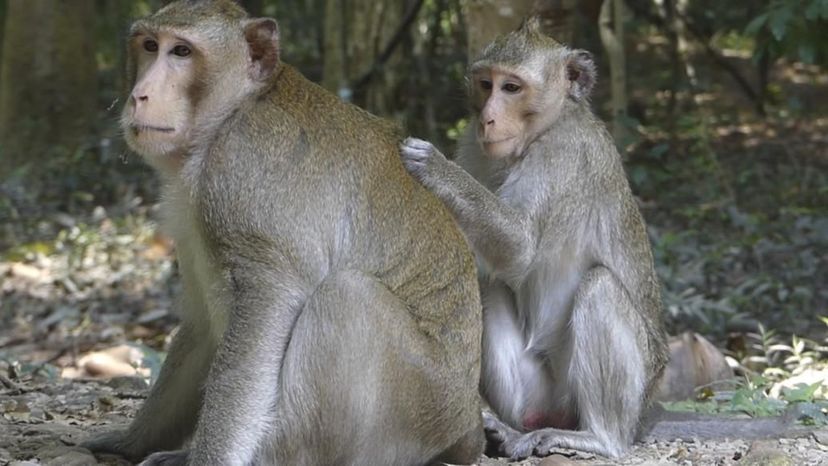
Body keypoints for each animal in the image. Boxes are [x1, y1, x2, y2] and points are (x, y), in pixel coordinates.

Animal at [80, 1, 482, 464]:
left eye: (181, 51)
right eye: (149, 46)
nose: (139, 95)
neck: (235, 110)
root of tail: (464, 424)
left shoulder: (241, 168)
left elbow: (268, 296)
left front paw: (208, 456)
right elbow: (200, 322)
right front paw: (130, 442)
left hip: (417, 405)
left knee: (346, 296)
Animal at [402, 17, 672, 458]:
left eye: (511, 88)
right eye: (486, 84)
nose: (487, 119)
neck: (547, 126)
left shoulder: (563, 152)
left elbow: (521, 250)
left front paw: (435, 169)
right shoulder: (475, 146)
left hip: (624, 394)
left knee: (599, 286)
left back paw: (600, 437)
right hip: (541, 395)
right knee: (488, 287)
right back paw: (509, 430)